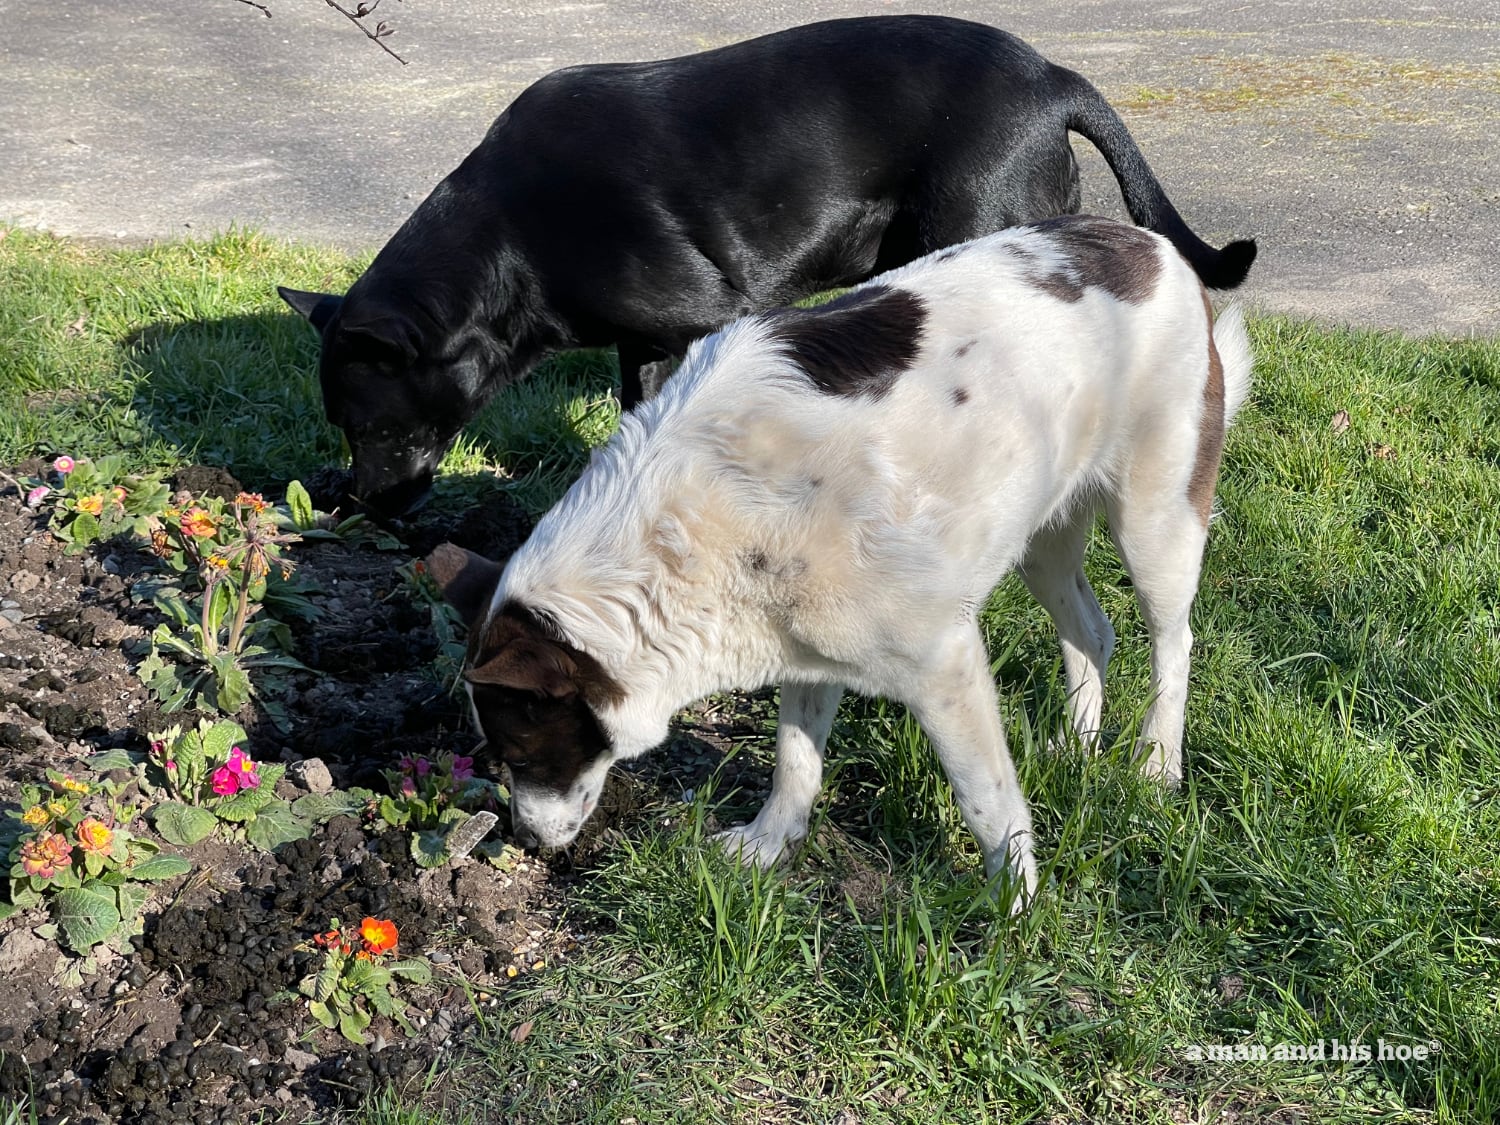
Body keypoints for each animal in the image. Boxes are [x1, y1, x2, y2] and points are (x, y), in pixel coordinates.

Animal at [279, 14, 1254, 516]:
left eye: (368, 426)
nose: (358, 505)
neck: (513, 236)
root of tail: (1056, 77)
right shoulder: (645, 344)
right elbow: (638, 416)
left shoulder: (716, 318)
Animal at [426, 216, 1254, 906]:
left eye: (519, 748)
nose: (527, 840)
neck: (677, 536)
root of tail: (1153, 245)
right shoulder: (804, 650)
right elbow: (795, 758)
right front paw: (769, 844)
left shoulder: (943, 663)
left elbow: (984, 796)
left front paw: (1013, 903)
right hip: (1042, 534)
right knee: (1091, 627)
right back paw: (1077, 742)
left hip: (1156, 519)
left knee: (1172, 641)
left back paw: (1155, 763)